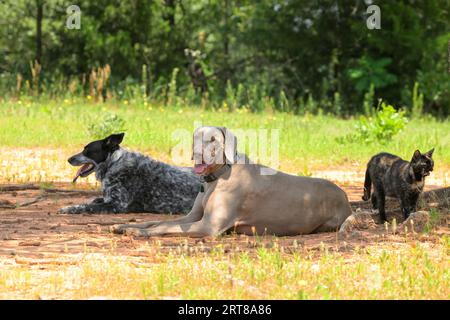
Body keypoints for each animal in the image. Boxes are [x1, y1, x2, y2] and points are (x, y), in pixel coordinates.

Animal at [57, 132, 200, 215]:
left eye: (87, 150)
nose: (69, 159)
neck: (114, 163)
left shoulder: (117, 204)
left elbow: (86, 206)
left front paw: (68, 208)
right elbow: (93, 200)